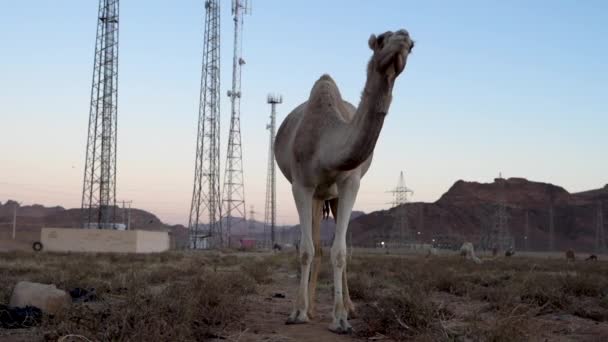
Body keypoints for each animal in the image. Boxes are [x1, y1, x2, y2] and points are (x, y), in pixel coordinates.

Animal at [274, 29, 414, 334]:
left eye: (412, 46)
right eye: (382, 39)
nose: (403, 37)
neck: (326, 141)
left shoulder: (350, 183)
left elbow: (341, 251)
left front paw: (340, 318)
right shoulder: (301, 185)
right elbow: (306, 249)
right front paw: (298, 312)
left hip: (334, 196)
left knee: (334, 247)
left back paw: (348, 307)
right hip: (317, 196)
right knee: (316, 245)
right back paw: (311, 307)